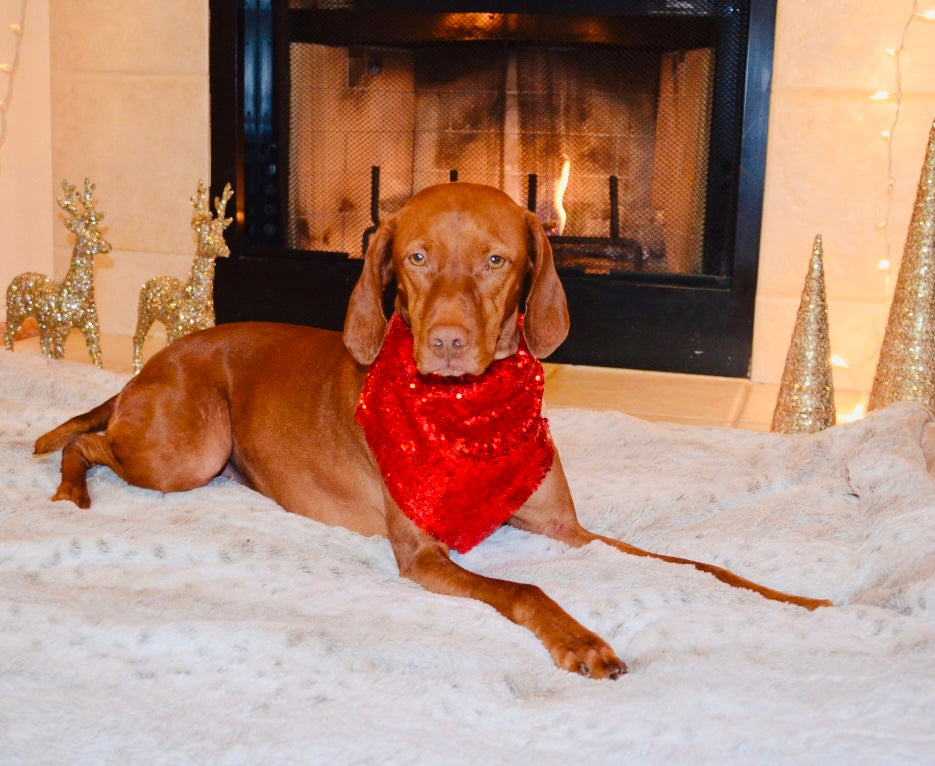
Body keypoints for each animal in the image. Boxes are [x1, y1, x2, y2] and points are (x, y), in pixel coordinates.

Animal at [33, 183, 828, 680]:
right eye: (415, 257)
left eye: (496, 260)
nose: (446, 342)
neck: (469, 413)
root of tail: (154, 361)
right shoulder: (422, 556)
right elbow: (526, 589)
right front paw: (582, 641)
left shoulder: (570, 531)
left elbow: (701, 567)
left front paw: (800, 601)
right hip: (188, 452)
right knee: (83, 441)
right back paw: (72, 493)